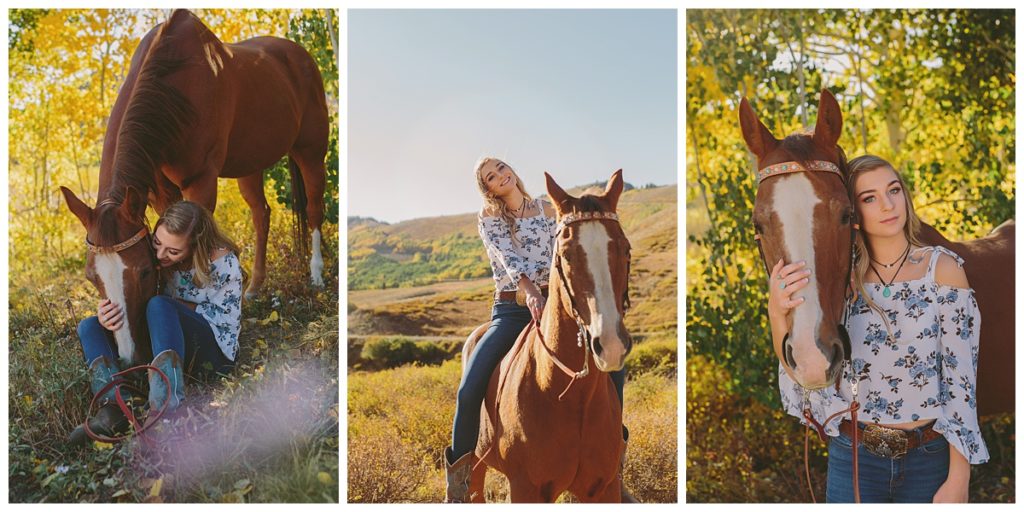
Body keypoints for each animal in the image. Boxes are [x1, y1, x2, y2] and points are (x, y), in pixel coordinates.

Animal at [58, 9, 327, 360]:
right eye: (91, 277)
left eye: (144, 271)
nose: (131, 357)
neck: (175, 89)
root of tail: (300, 56)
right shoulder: (159, 191)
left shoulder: (201, 182)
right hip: (249, 165)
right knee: (261, 214)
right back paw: (254, 287)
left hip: (311, 151)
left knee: (314, 208)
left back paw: (317, 275)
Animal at [462, 169, 630, 501]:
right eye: (565, 255)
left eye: (626, 249)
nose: (610, 345)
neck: (566, 393)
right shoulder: (525, 487)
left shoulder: (604, 487)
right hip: (475, 461)